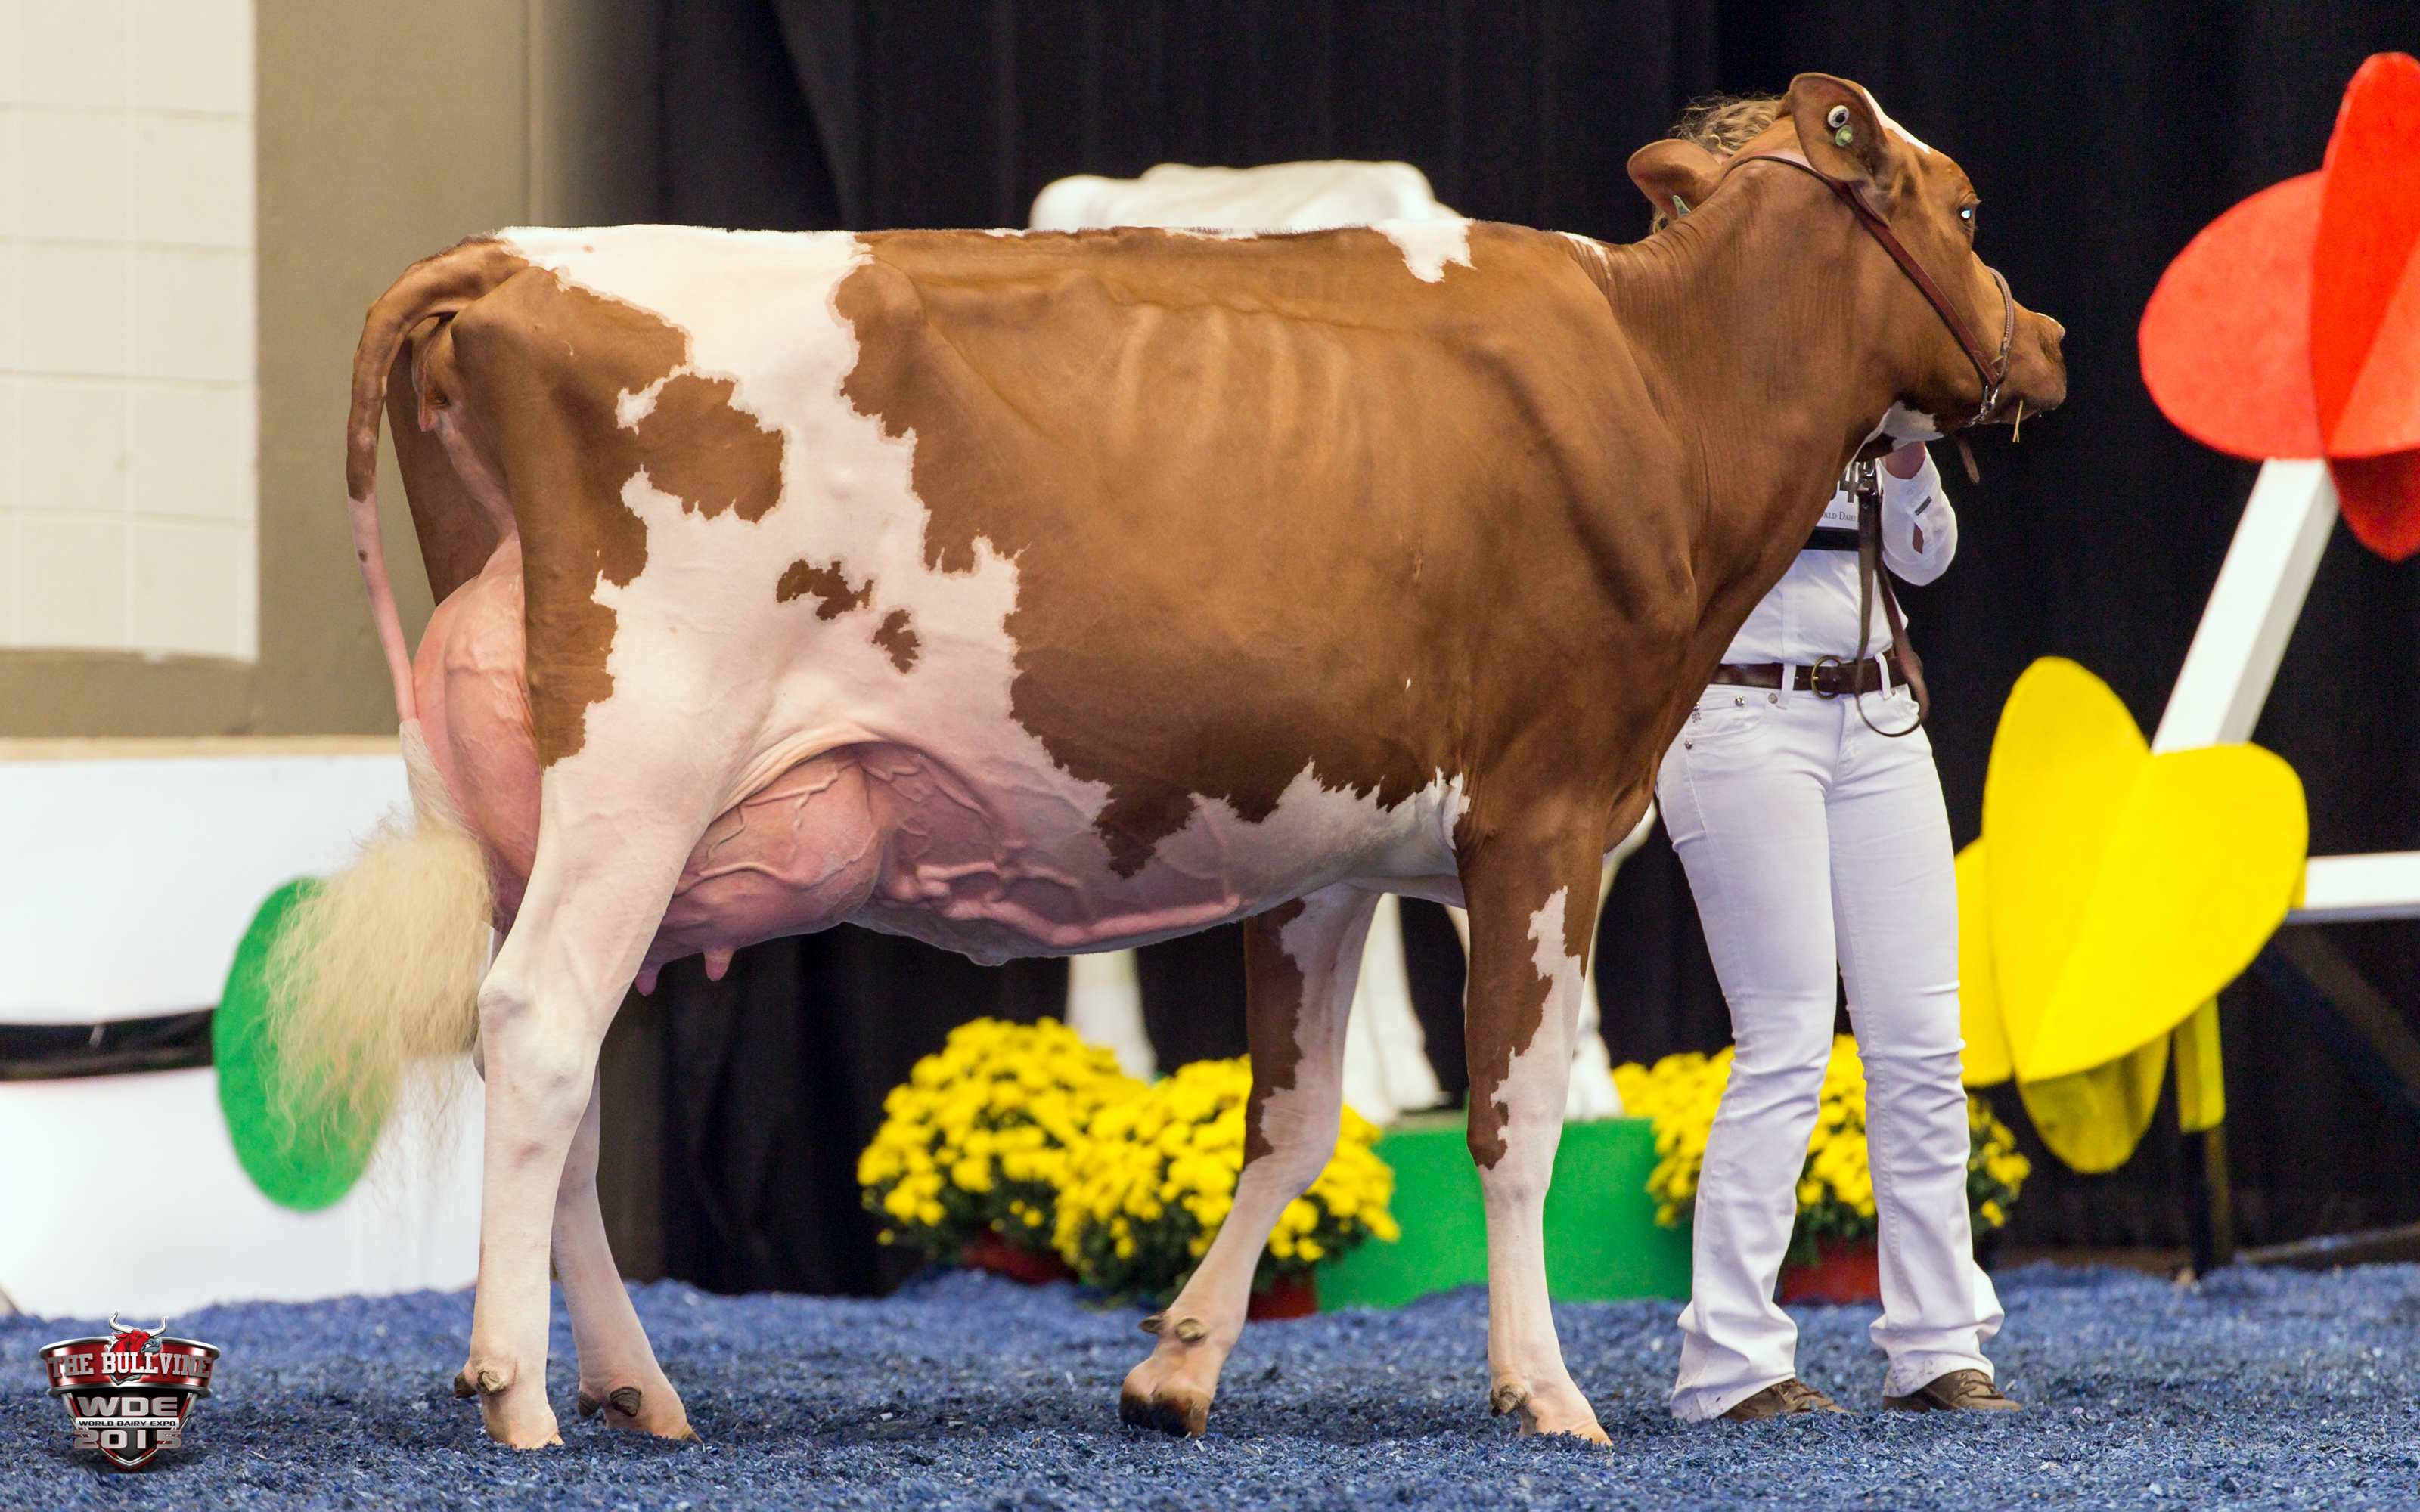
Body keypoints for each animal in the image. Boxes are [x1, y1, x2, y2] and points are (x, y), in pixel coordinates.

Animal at [275, 72, 2063, 1450]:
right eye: (1971, 212)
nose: (2043, 338)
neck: (1659, 384)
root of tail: (517, 260)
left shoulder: (1328, 851)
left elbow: (1296, 1121)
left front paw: (1177, 1368)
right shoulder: (1547, 815)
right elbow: (1513, 1123)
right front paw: (1545, 1389)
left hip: (560, 821)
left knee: (558, 1063)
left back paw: (634, 1387)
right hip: (640, 765)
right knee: (537, 1031)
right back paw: (516, 1389)